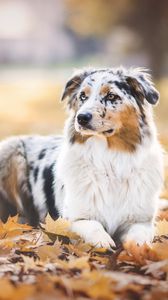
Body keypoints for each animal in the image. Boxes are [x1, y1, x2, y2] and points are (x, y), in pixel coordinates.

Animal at [0, 68, 164, 248]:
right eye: (83, 96)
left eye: (111, 96)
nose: (81, 117)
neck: (109, 161)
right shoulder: (72, 219)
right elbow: (92, 226)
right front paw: (103, 242)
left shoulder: (141, 221)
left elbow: (138, 239)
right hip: (10, 150)